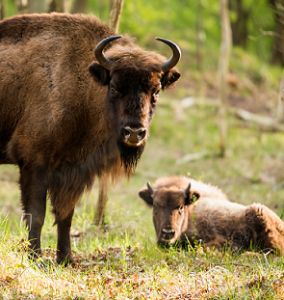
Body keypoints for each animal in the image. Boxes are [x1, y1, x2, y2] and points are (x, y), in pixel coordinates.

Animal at [0, 12, 182, 264]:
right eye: (113, 87)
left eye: (155, 91)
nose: (134, 132)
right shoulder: (34, 163)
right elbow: (37, 214)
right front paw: (35, 257)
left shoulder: (73, 169)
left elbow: (65, 215)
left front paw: (66, 259)